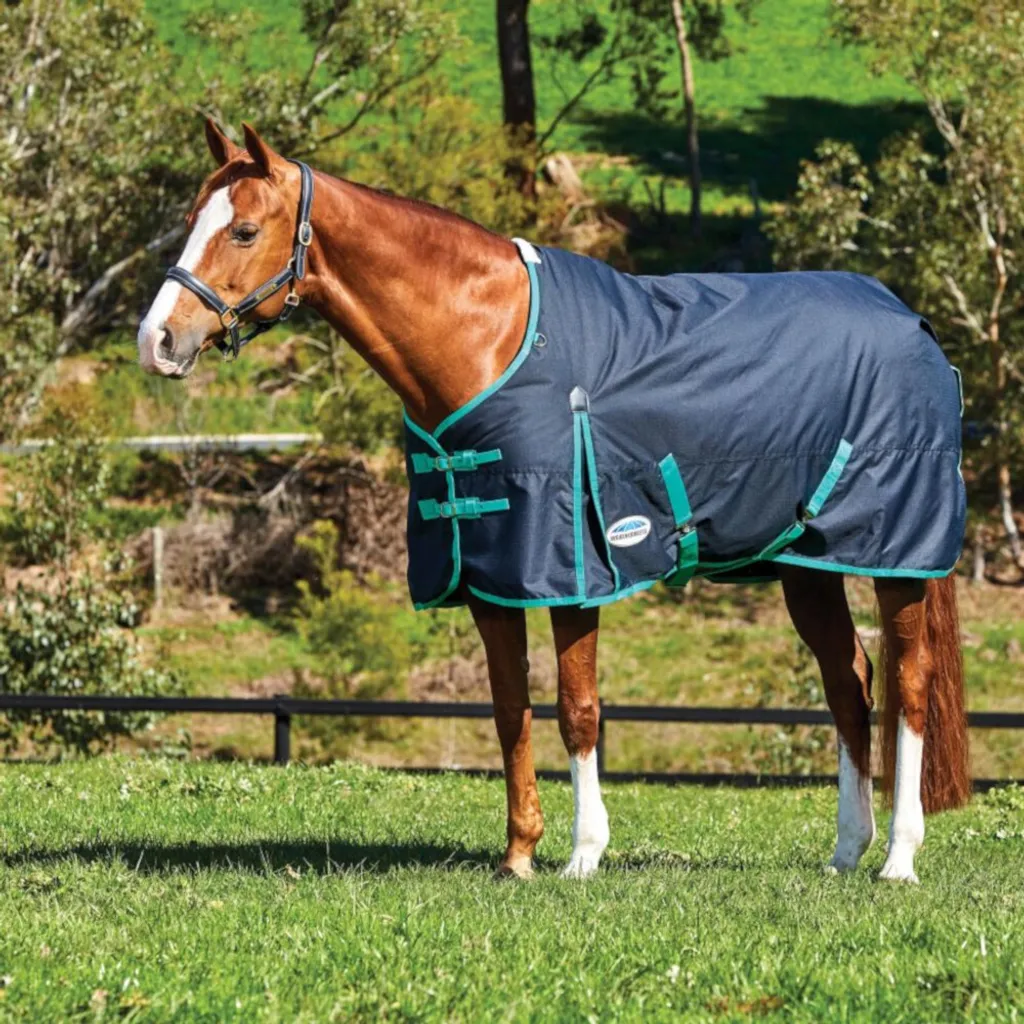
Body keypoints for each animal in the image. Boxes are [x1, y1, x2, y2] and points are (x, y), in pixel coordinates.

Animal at [138, 120, 970, 883]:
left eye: (244, 229)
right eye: (193, 219)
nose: (158, 340)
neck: (488, 337)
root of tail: (915, 324)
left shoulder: (573, 572)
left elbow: (578, 708)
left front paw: (582, 855)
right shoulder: (491, 579)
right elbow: (511, 708)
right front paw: (518, 855)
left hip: (898, 561)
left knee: (909, 688)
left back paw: (898, 859)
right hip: (807, 564)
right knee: (848, 683)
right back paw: (845, 851)